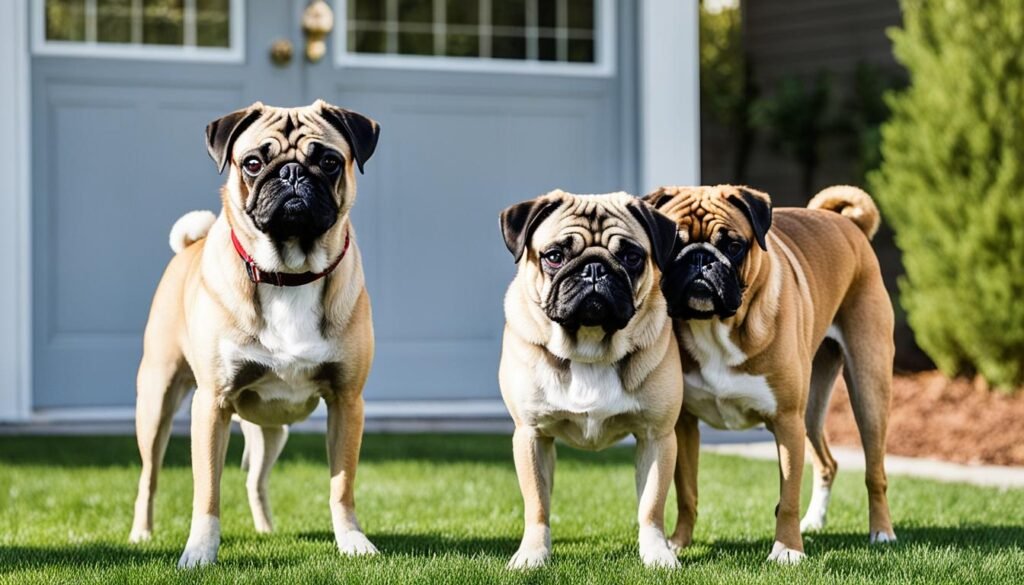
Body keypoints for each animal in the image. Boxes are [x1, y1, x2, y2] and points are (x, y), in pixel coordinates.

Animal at [129, 100, 380, 569]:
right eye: (252, 163)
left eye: (329, 162)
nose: (292, 173)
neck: (290, 274)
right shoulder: (212, 406)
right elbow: (207, 491)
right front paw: (200, 551)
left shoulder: (347, 403)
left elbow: (342, 486)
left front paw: (352, 541)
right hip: (156, 403)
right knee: (149, 477)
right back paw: (141, 534)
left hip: (270, 430)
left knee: (256, 480)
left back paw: (266, 530)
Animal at [499, 191, 684, 569]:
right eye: (554, 256)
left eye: (631, 257)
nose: (595, 268)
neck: (590, 344)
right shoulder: (531, 435)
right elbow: (536, 505)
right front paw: (533, 554)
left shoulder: (657, 437)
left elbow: (652, 506)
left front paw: (656, 553)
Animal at [647, 186, 897, 561]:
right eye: (675, 242)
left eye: (734, 246)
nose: (700, 258)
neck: (716, 327)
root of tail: (845, 222)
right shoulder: (684, 424)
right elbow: (686, 491)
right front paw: (677, 543)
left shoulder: (786, 420)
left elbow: (789, 495)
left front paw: (788, 550)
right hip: (811, 413)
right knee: (827, 463)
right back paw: (815, 521)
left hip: (868, 391)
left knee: (874, 471)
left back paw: (881, 532)